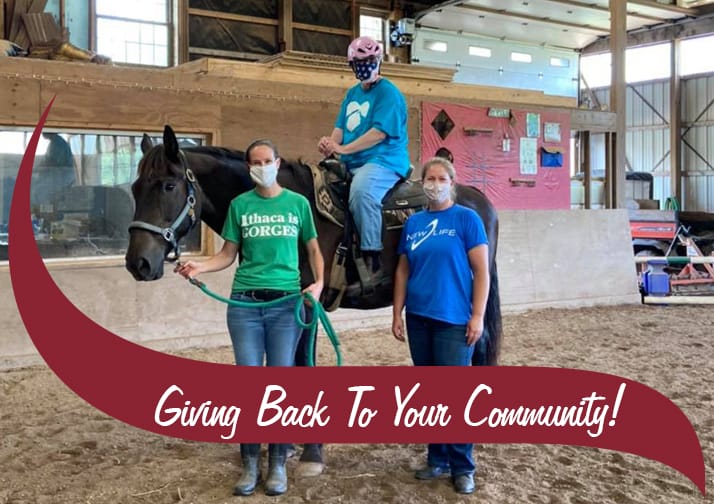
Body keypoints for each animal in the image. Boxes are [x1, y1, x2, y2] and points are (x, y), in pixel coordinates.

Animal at [124, 125, 500, 472]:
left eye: (168, 186)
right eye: (135, 188)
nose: (137, 263)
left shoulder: (305, 303)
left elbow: (302, 364)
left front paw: (311, 454)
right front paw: (290, 447)